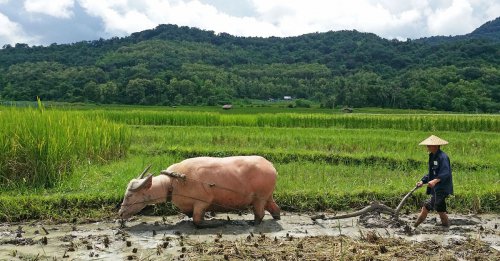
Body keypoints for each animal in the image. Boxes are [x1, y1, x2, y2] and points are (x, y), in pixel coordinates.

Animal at [118, 155, 282, 226]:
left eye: (130, 195)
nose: (120, 213)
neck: (173, 183)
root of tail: (271, 166)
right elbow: (190, 215)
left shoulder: (202, 202)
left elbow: (197, 221)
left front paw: (216, 223)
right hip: (267, 197)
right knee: (275, 208)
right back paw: (276, 217)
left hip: (259, 198)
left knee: (260, 214)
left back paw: (253, 223)